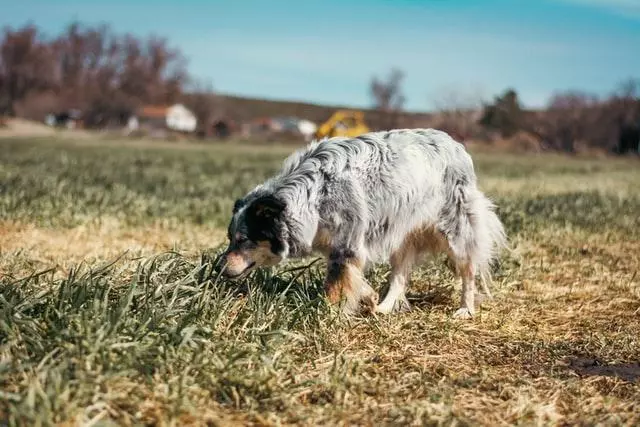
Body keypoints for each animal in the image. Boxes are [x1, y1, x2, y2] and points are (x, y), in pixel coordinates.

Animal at [219, 129, 504, 320]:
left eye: (244, 240)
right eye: (230, 238)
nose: (217, 268)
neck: (314, 194)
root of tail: (454, 143)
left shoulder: (347, 243)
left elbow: (335, 286)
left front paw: (328, 316)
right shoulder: (341, 247)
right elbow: (353, 278)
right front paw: (368, 297)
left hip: (456, 230)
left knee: (469, 271)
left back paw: (465, 309)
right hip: (401, 237)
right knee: (399, 277)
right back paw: (384, 308)